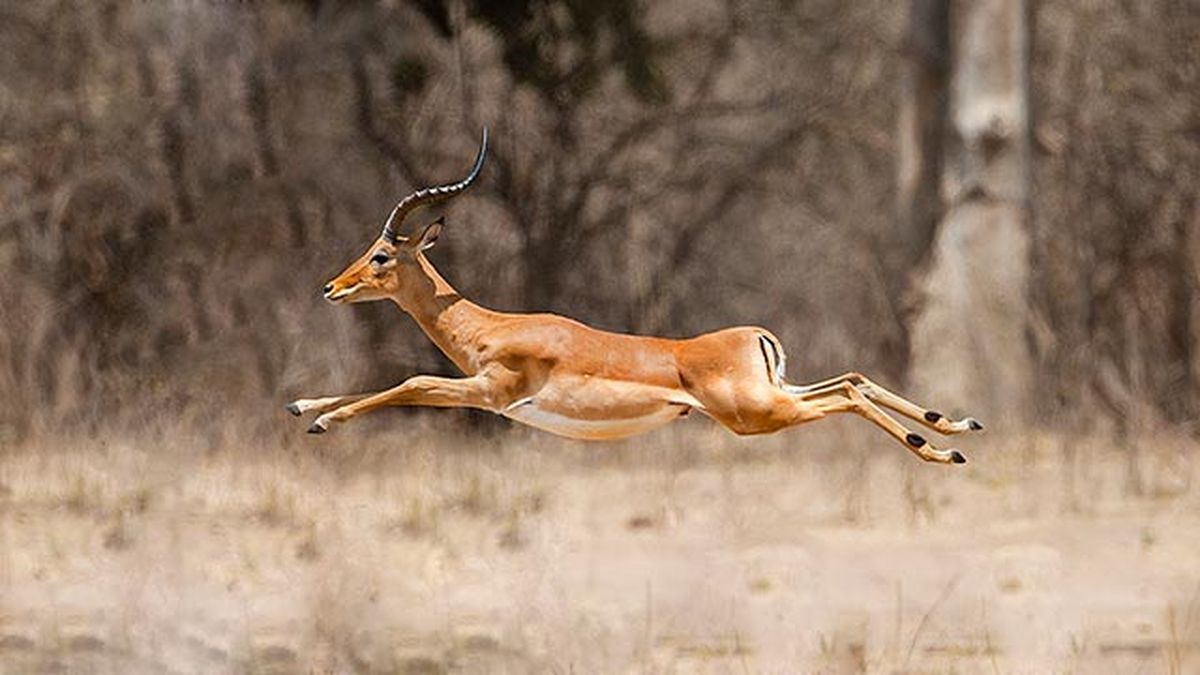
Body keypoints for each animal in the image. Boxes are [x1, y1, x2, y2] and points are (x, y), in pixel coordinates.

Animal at [287, 129, 982, 463]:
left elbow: (408, 383)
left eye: (383, 256)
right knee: (853, 378)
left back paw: (941, 451)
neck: (489, 326)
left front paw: (322, 420)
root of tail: (757, 336)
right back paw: (953, 426)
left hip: (756, 415)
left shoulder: (490, 395)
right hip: (775, 396)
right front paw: (302, 405)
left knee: (848, 395)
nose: (330, 286)